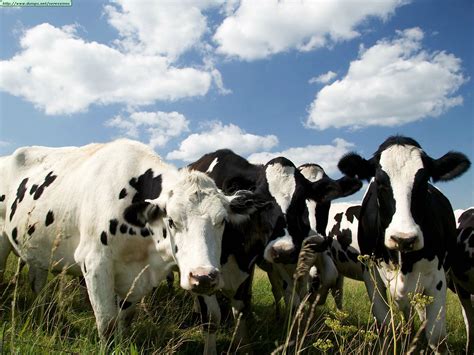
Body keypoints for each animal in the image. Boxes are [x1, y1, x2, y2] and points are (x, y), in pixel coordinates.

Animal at [0, 140, 262, 344]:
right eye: (171, 220)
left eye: (222, 220)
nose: (204, 277)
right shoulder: (94, 263)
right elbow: (107, 324)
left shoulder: (137, 277)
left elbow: (125, 319)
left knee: (36, 282)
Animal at [188, 149, 360, 354]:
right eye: (262, 201)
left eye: (301, 200)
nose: (283, 250)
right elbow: (212, 317)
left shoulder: (249, 269)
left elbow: (244, 308)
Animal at [336, 136, 470, 354]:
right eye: (380, 182)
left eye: (424, 182)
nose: (404, 239)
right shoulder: (371, 276)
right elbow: (384, 325)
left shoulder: (437, 279)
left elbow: (437, 337)